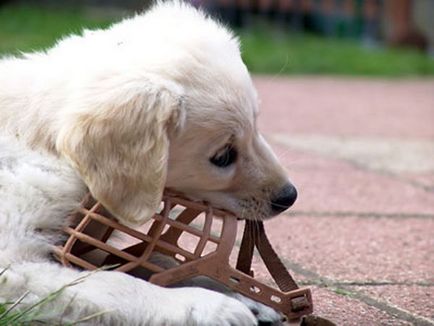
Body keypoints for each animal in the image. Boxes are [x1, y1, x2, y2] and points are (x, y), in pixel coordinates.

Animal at [0, 1, 296, 324]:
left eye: (256, 126)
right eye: (223, 156)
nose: (289, 197)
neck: (44, 140)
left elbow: (153, 260)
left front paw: (241, 295)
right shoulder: (12, 263)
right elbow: (113, 283)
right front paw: (212, 305)